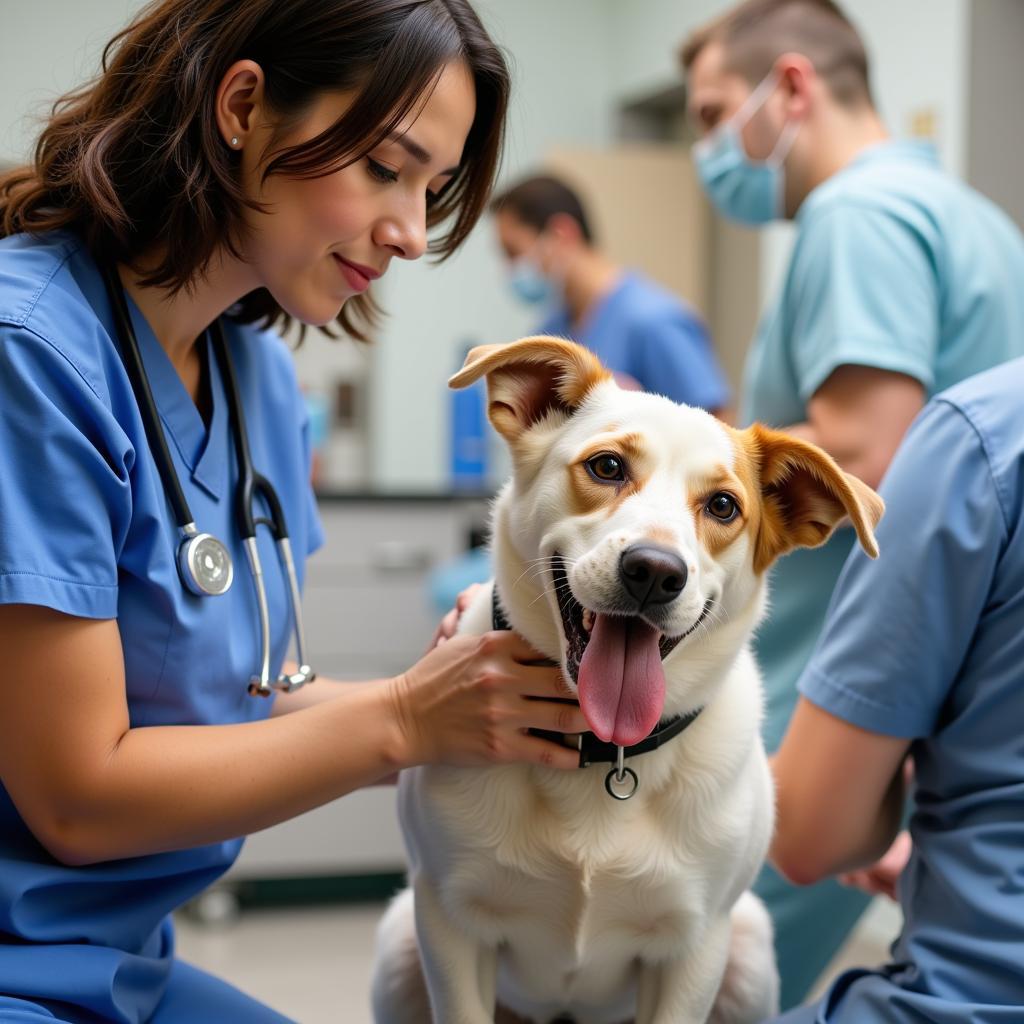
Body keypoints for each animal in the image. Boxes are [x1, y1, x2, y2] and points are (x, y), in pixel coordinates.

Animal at [372, 337, 884, 1024]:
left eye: (723, 506)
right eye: (608, 467)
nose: (655, 571)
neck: (604, 750)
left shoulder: (694, 950)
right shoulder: (450, 926)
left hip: (749, 948)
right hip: (400, 941)